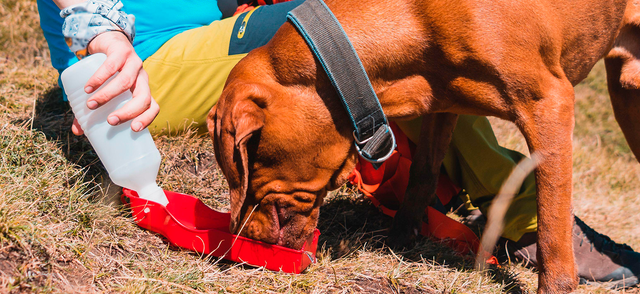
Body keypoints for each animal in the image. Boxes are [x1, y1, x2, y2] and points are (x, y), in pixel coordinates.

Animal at [212, 0, 640, 292]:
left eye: (245, 155)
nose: (244, 240)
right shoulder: (442, 102)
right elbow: (421, 177)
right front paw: (399, 241)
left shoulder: (549, 105)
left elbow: (552, 224)